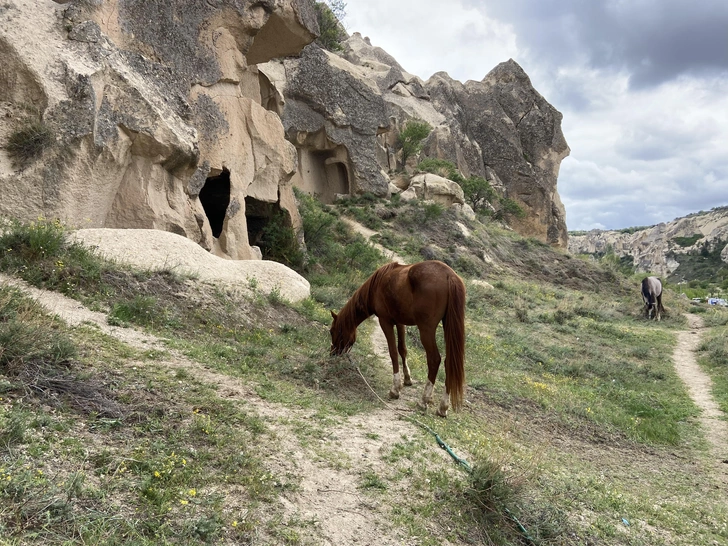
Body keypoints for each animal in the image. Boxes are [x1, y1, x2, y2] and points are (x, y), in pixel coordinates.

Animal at [330, 260, 466, 416]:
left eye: (332, 331)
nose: (332, 353)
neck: (377, 284)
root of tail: (449, 276)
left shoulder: (385, 322)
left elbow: (393, 352)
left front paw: (395, 389)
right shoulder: (400, 322)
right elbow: (402, 350)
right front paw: (407, 379)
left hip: (426, 330)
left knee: (434, 359)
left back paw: (423, 401)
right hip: (447, 326)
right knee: (449, 362)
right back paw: (442, 407)